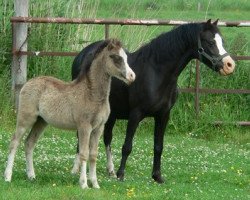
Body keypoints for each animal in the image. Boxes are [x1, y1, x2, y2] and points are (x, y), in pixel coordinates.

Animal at [3, 38, 136, 189]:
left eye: (126, 57)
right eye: (115, 57)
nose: (132, 76)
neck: (91, 94)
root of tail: (27, 83)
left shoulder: (99, 128)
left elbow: (93, 154)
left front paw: (95, 184)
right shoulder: (84, 127)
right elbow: (84, 153)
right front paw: (84, 184)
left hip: (41, 122)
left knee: (29, 143)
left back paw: (31, 176)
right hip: (26, 119)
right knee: (14, 142)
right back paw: (8, 176)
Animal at [71, 19, 235, 184]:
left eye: (222, 41)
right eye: (210, 42)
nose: (230, 65)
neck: (156, 73)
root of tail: (83, 54)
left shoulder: (163, 115)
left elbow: (158, 146)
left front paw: (157, 176)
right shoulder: (135, 114)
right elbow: (127, 146)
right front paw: (121, 174)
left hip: (111, 114)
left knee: (106, 138)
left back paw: (109, 170)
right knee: (82, 137)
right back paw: (76, 169)